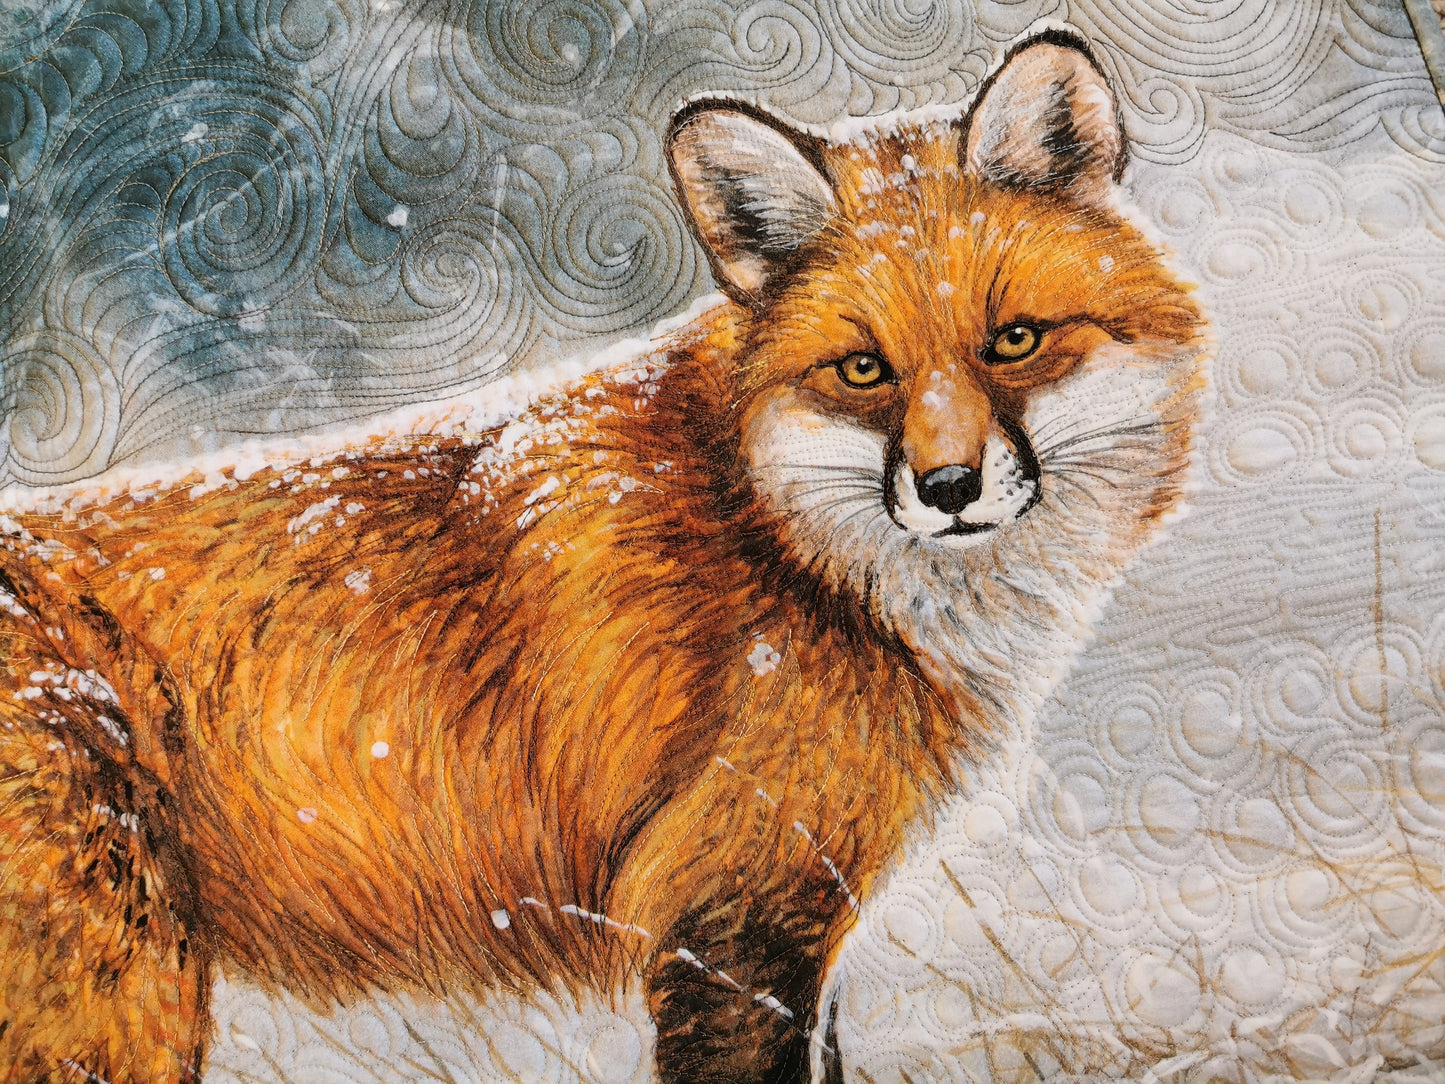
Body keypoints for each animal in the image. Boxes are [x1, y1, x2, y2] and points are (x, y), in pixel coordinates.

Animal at [0, 30, 1202, 1084]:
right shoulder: (727, 919)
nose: (947, 490)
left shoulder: (807, 927)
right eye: (863, 369)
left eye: (1013, 340)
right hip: (121, 1011)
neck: (792, 549)